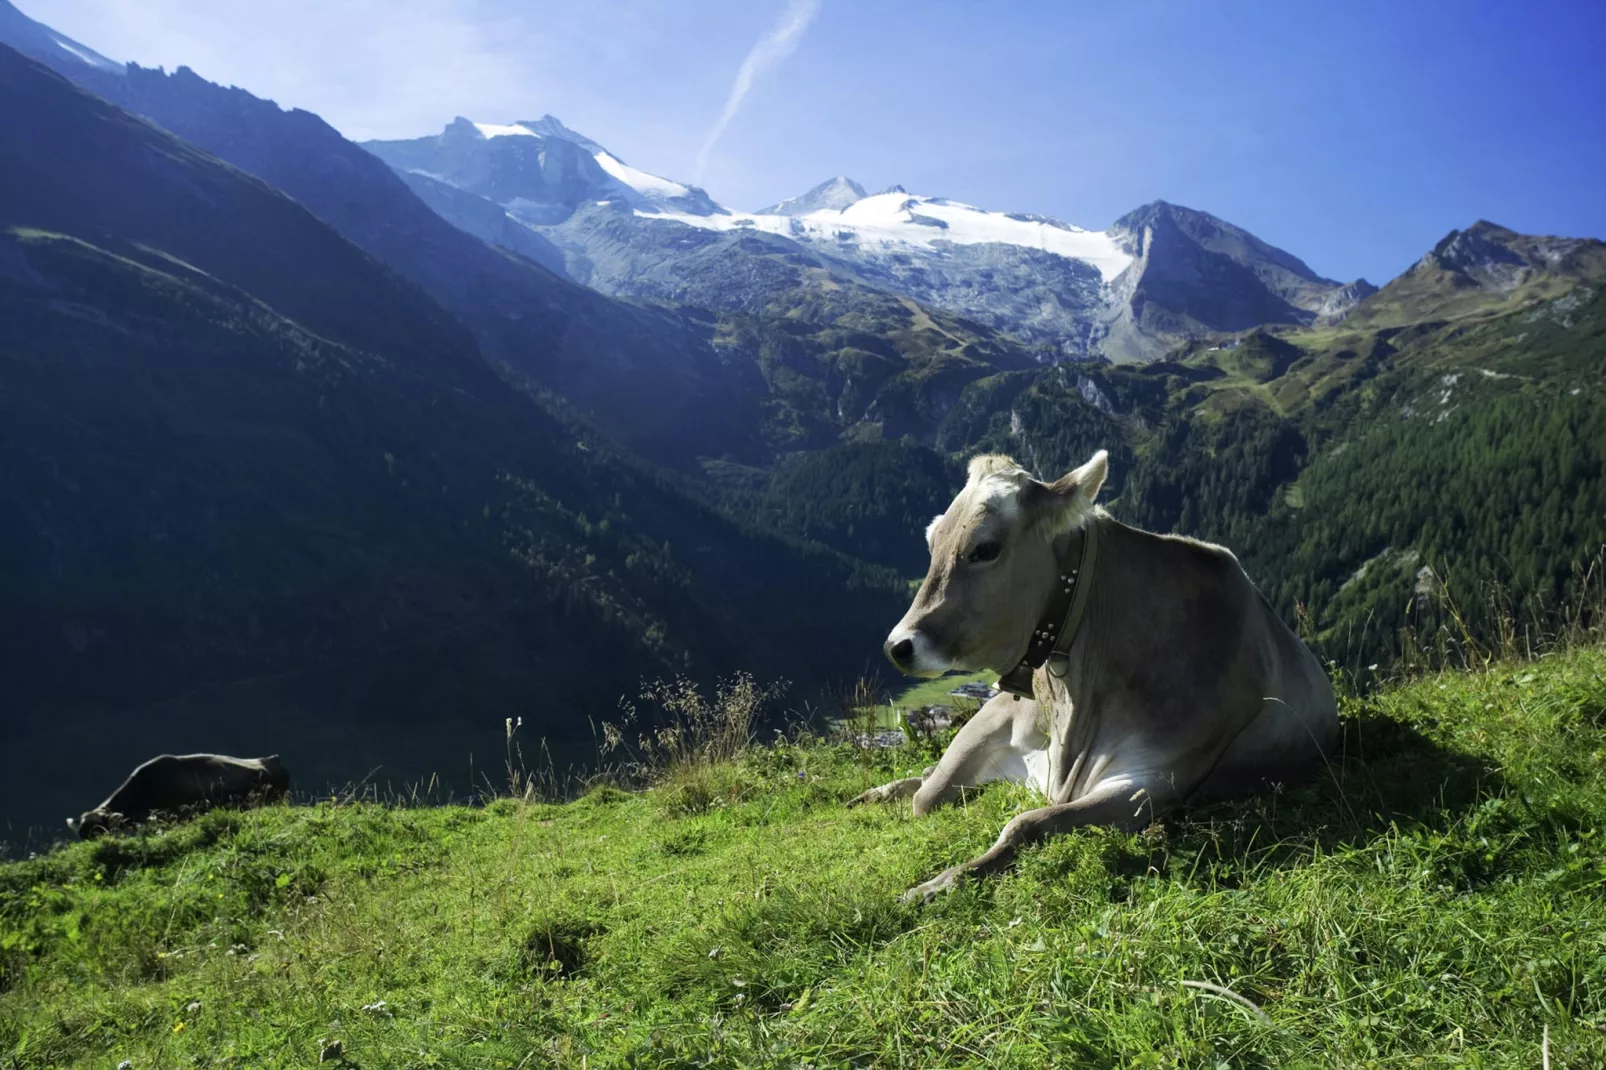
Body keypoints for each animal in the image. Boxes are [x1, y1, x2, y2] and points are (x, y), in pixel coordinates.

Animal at [860, 446, 1336, 899]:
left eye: (985, 548)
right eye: (933, 539)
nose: (897, 646)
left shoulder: (1151, 781)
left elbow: (1024, 824)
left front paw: (938, 884)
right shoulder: (998, 719)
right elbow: (929, 796)